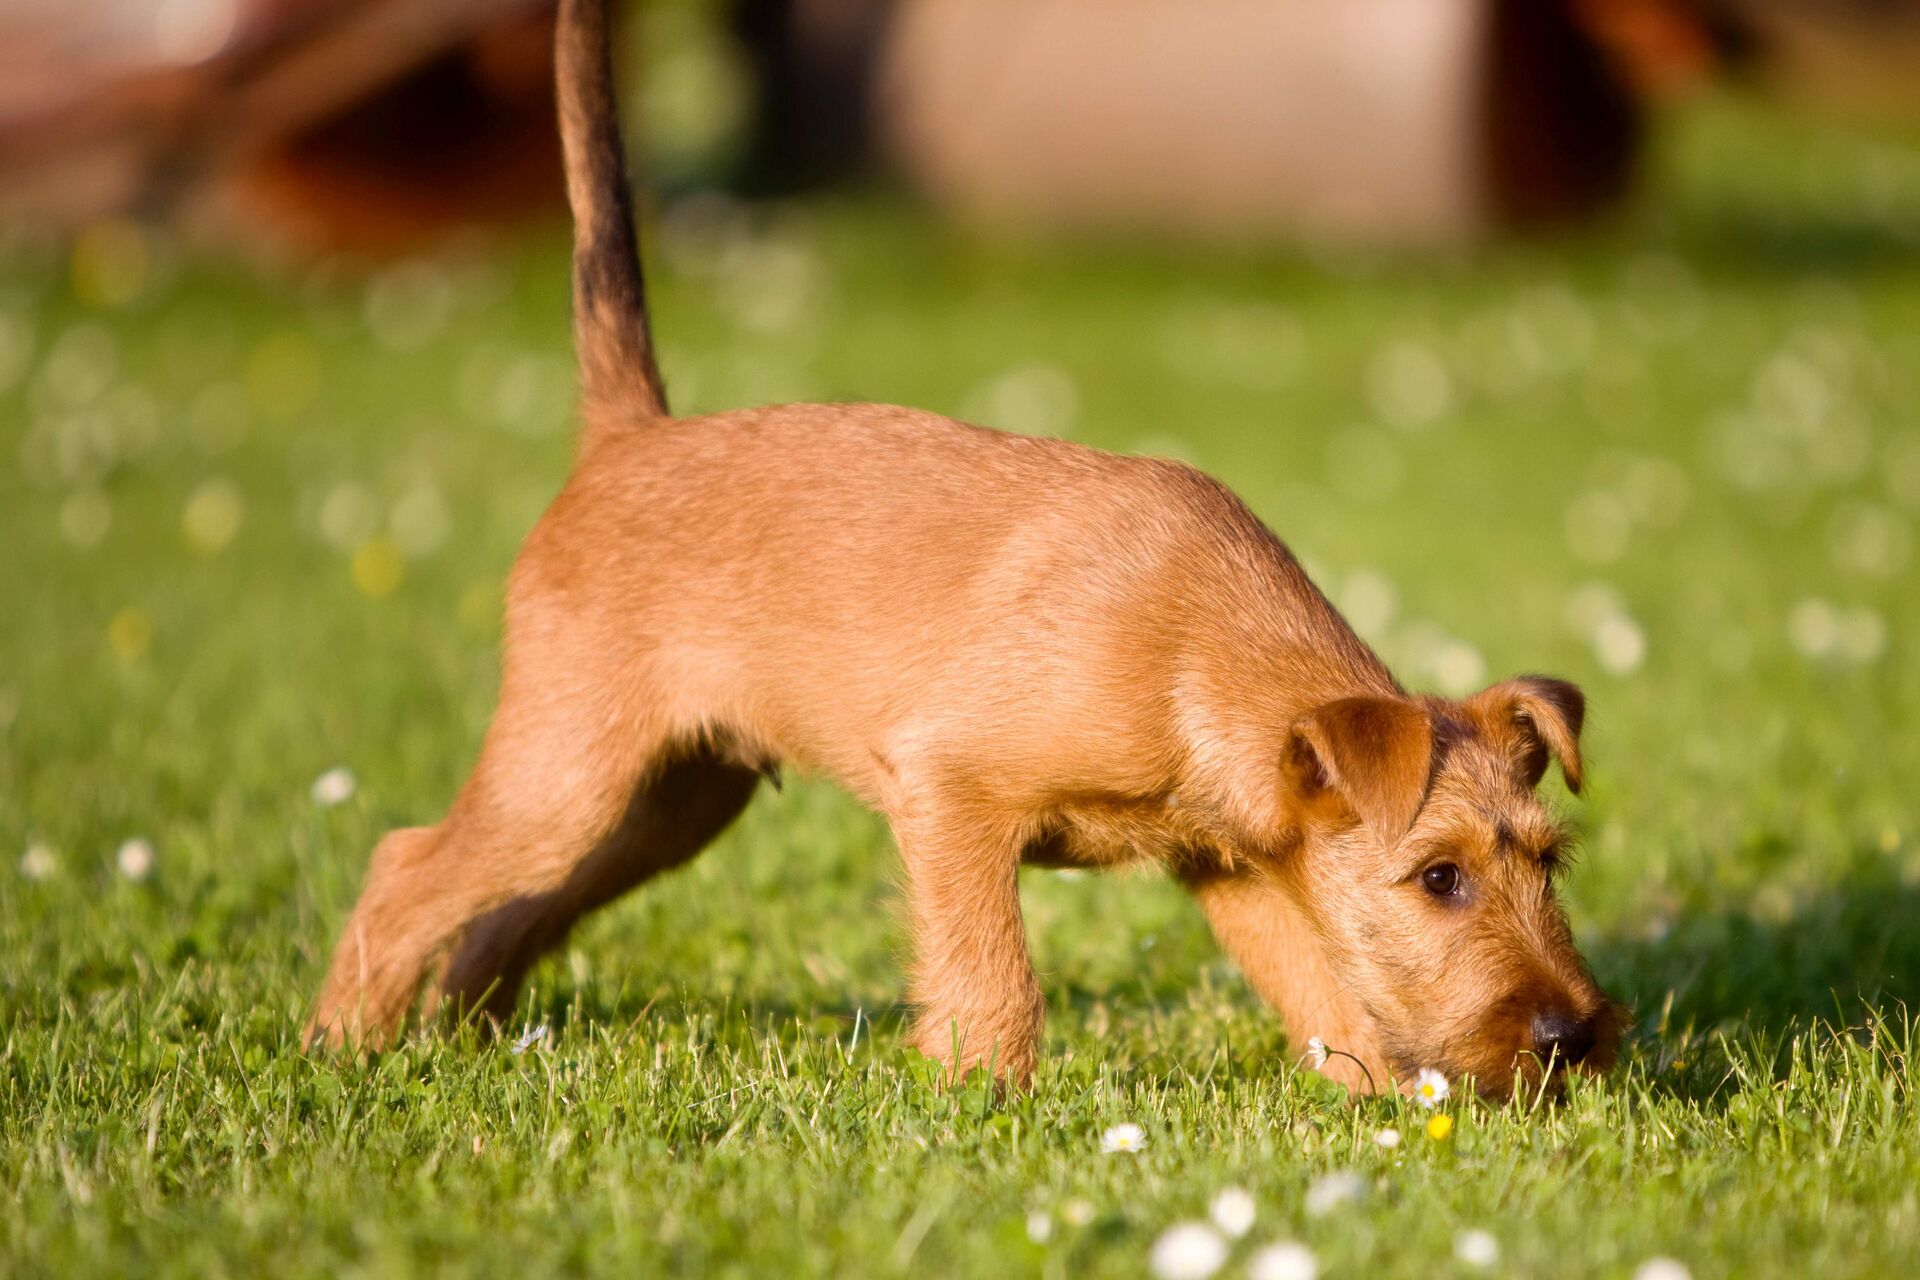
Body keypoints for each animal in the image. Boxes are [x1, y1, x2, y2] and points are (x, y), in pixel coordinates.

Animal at [311, 0, 1620, 1105]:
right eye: (1440, 876)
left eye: (1551, 863)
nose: (1574, 1037)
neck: (1200, 648)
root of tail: (629, 432)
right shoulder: (950, 790)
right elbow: (994, 978)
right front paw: (981, 1106)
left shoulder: (1244, 870)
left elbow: (1325, 994)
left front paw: (1387, 1114)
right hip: (571, 769)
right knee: (406, 864)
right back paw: (342, 1046)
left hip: (663, 801)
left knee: (505, 906)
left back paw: (464, 1037)